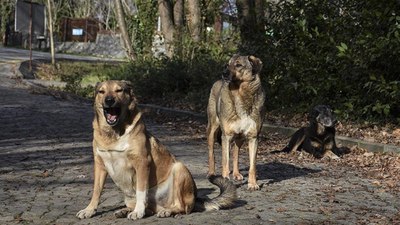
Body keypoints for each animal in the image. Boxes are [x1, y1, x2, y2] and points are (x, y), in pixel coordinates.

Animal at [76, 80, 236, 220]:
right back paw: (125, 210)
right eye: (101, 92)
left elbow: (141, 191)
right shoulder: (100, 165)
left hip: (179, 168)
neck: (113, 134)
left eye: (119, 90)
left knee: (182, 207)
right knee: (150, 209)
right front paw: (89, 210)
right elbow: (96, 191)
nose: (109, 100)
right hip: (129, 197)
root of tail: (196, 199)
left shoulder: (142, 163)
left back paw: (166, 211)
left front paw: (138, 212)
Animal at [206, 54, 266, 190]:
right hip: (212, 129)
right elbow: (225, 162)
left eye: (238, 65)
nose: (224, 73)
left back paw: (237, 173)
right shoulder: (226, 136)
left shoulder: (253, 137)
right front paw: (225, 181)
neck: (241, 94)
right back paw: (212, 174)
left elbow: (252, 166)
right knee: (212, 153)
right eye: (227, 65)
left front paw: (252, 184)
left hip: (240, 137)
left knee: (236, 153)